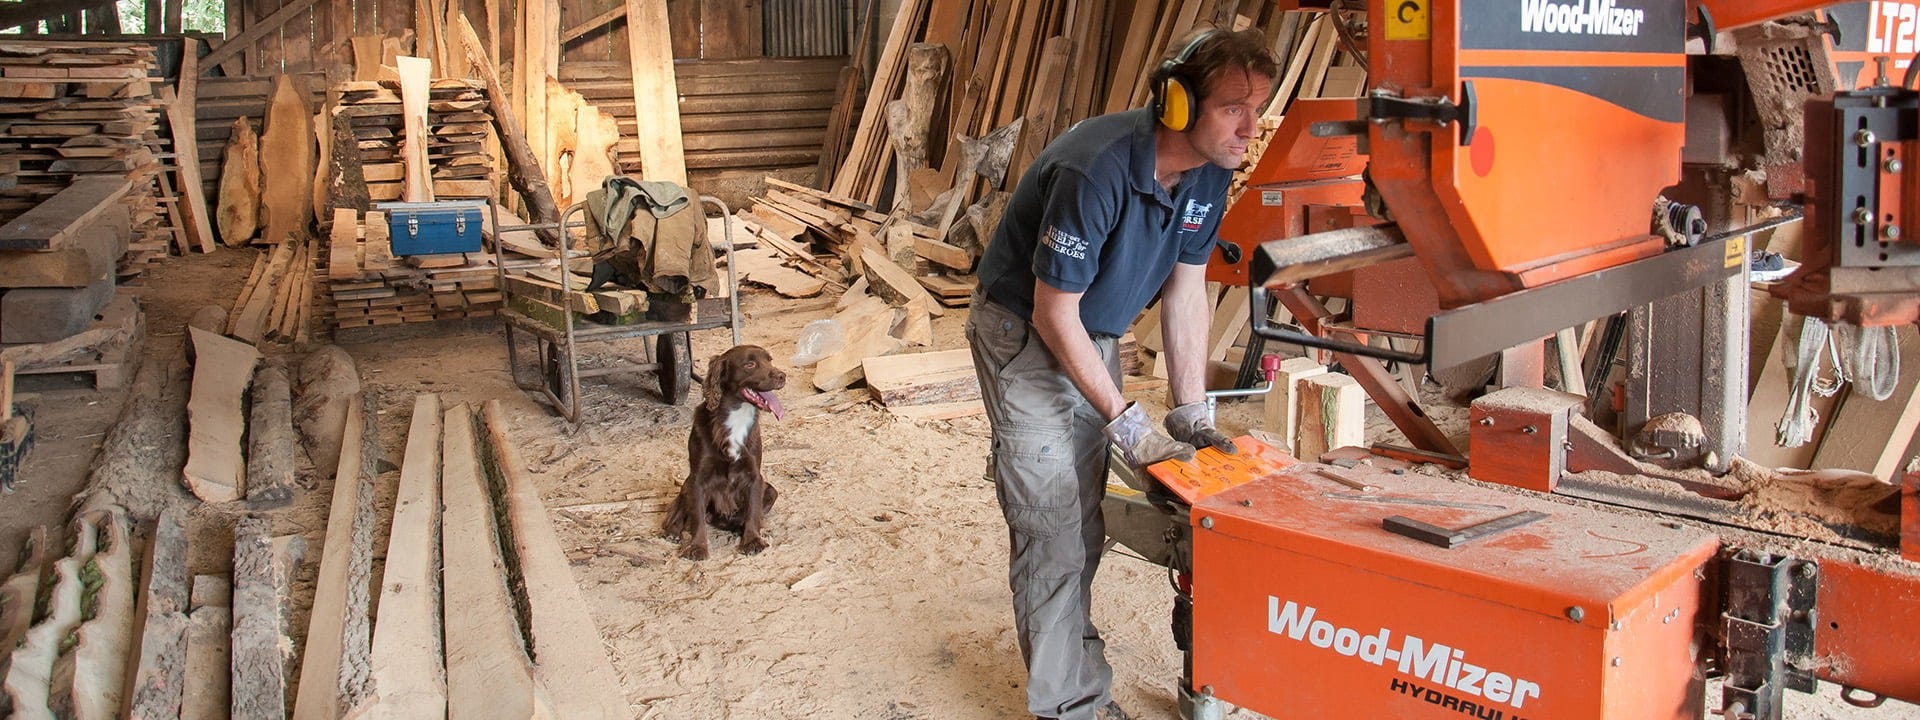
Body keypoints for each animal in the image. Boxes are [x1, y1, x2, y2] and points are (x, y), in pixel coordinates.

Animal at [660, 347, 779, 560]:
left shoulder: (754, 476)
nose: (783, 376)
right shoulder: (697, 478)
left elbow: (753, 511)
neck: (736, 417)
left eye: (770, 360)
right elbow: (697, 517)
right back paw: (673, 532)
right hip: (687, 484)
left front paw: (752, 540)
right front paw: (697, 547)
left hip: (771, 490)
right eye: (750, 364)